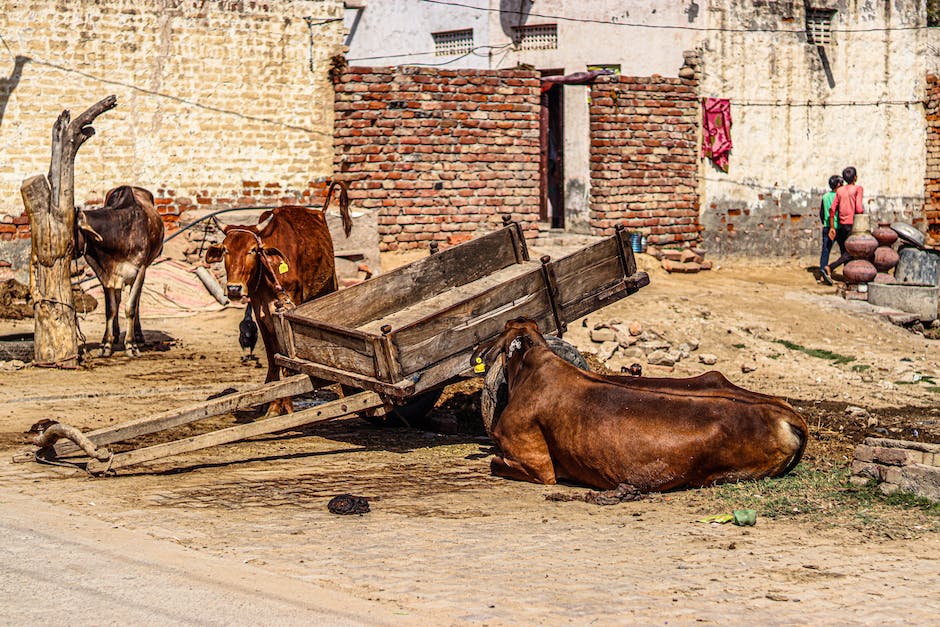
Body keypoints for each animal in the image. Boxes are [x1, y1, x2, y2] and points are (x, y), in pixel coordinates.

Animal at [78, 186, 165, 358]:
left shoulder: (140, 270)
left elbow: (131, 307)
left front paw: (131, 345)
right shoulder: (105, 275)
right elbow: (110, 309)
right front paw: (106, 343)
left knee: (136, 301)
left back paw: (137, 335)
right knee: (118, 300)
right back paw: (116, 333)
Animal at [206, 183, 352, 418]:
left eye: (253, 250)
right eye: (226, 250)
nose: (234, 288)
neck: (269, 272)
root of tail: (319, 213)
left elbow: (288, 360)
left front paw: (287, 406)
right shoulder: (261, 314)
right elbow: (273, 357)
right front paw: (274, 405)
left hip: (329, 285)